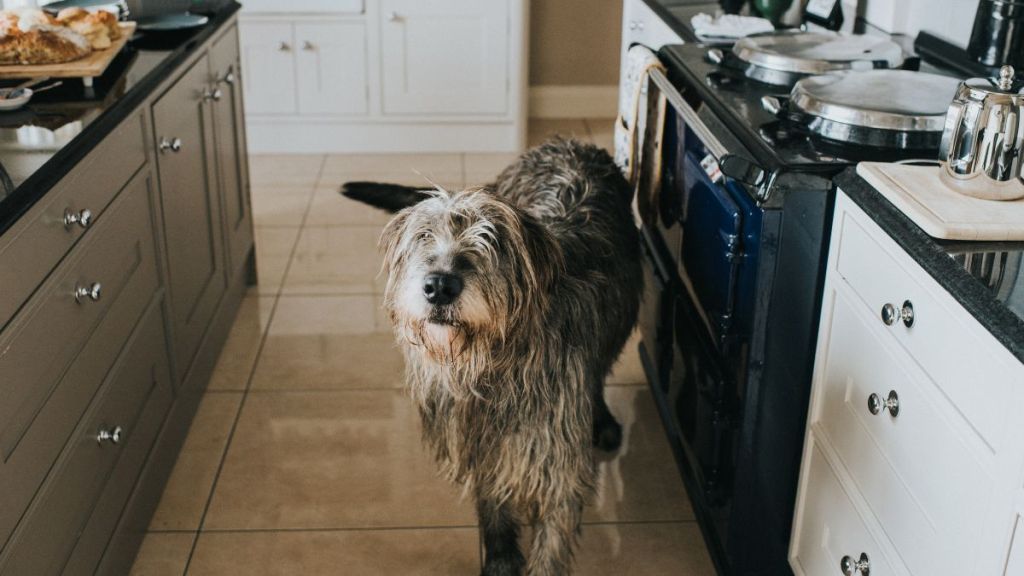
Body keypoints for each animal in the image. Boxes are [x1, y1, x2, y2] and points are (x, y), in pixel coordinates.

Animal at [348, 136, 643, 569]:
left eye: (491, 240)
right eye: (423, 236)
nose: (439, 285)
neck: (492, 362)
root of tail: (570, 142)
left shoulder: (556, 457)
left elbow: (551, 541)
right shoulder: (474, 435)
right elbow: (492, 494)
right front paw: (500, 552)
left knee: (599, 371)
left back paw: (601, 418)